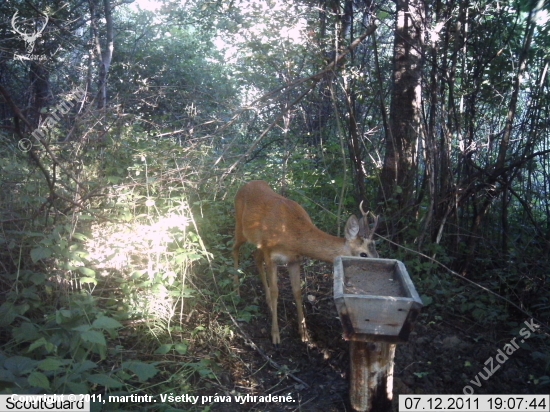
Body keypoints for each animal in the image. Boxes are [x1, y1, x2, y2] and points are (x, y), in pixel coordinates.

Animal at [232, 182, 380, 346]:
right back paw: (236, 292)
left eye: (376, 250)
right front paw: (275, 335)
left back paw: (267, 302)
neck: (292, 235)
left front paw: (304, 333)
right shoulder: (271, 255)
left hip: (259, 245)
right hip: (240, 226)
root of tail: (246, 185)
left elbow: (297, 291)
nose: (378, 265)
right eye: (363, 254)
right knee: (234, 249)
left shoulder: (294, 259)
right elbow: (276, 291)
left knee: (255, 257)